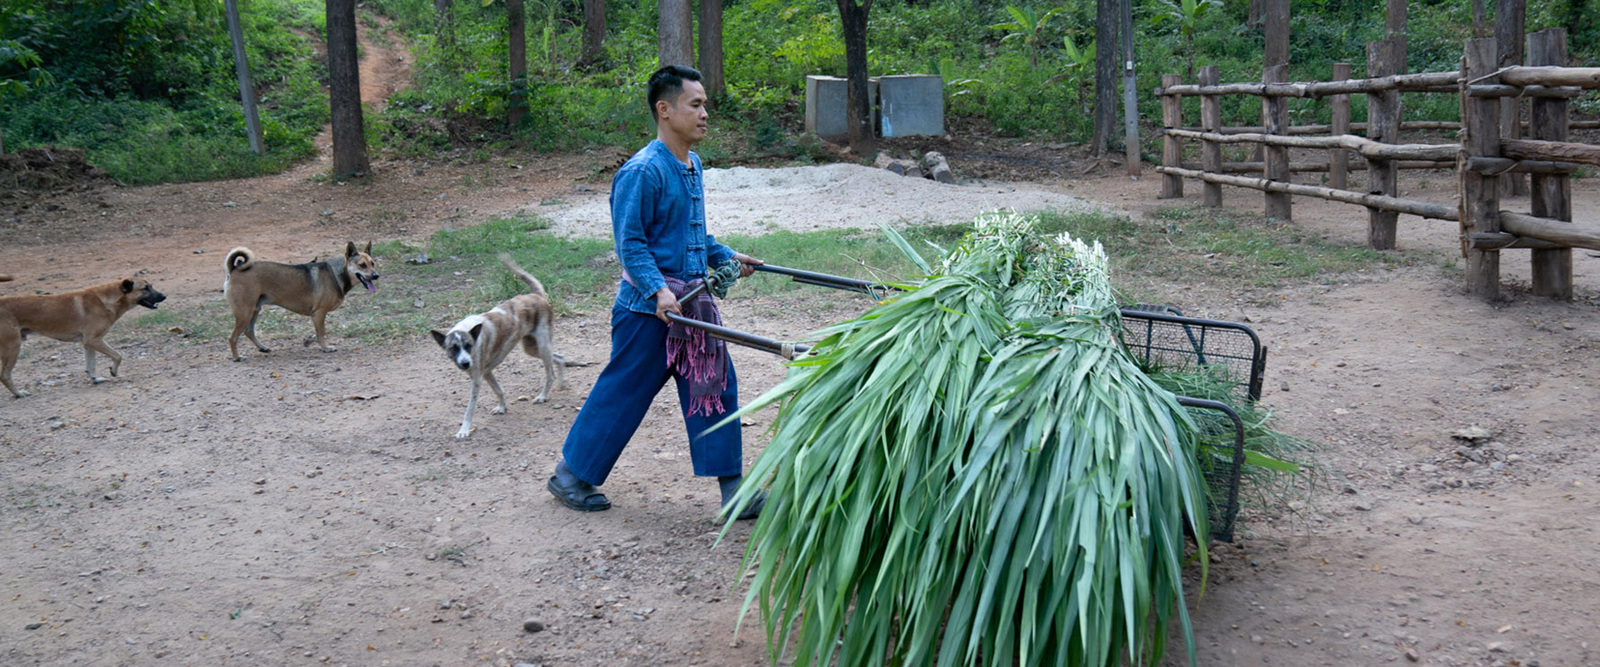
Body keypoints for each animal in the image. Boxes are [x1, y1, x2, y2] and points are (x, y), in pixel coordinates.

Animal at [0, 275, 165, 395]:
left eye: (151, 285)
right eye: (145, 288)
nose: (164, 296)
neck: (106, 300)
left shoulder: (88, 343)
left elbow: (90, 366)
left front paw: (96, 380)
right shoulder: (94, 340)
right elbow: (118, 356)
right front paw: (113, 371)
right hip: (13, 347)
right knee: (5, 376)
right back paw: (19, 394)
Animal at [224, 241, 379, 361]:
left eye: (372, 263)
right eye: (362, 265)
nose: (376, 275)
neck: (337, 273)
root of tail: (234, 269)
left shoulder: (317, 316)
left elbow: (318, 333)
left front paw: (309, 341)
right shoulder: (319, 313)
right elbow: (322, 332)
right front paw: (326, 347)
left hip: (254, 310)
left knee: (249, 331)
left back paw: (262, 348)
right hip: (244, 312)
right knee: (232, 337)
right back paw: (237, 357)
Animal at [432, 252, 569, 435]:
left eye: (468, 345)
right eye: (453, 348)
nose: (465, 363)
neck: (469, 332)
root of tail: (537, 296)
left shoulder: (477, 380)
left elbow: (469, 409)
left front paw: (464, 430)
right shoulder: (487, 373)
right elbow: (499, 391)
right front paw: (502, 408)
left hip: (542, 347)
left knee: (550, 374)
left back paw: (542, 396)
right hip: (532, 348)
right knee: (560, 357)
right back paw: (561, 384)